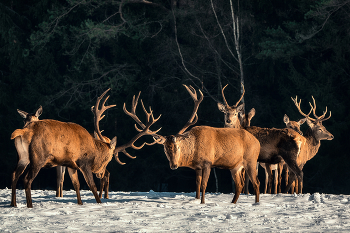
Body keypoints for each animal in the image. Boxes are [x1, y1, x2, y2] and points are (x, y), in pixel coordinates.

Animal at [10, 88, 159, 208]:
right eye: (109, 158)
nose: (100, 172)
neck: (94, 148)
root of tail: (23, 131)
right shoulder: (84, 162)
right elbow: (91, 185)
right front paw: (99, 202)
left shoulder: (70, 164)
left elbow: (76, 184)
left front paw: (80, 204)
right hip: (38, 157)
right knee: (27, 179)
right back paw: (30, 206)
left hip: (22, 157)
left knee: (14, 175)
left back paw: (14, 204)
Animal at [125, 85, 260, 204]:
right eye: (165, 150)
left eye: (178, 147)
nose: (174, 165)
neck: (194, 153)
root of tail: (256, 141)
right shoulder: (197, 167)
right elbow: (197, 184)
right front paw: (196, 200)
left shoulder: (208, 162)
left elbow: (204, 184)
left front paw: (203, 202)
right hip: (235, 166)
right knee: (239, 185)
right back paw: (233, 203)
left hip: (251, 160)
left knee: (256, 183)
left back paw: (256, 203)